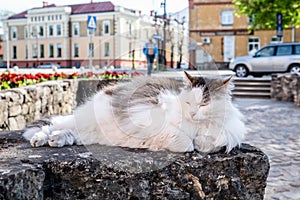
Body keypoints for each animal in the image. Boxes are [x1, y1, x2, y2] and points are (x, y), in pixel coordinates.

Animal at [22, 72, 244, 153]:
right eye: (188, 102)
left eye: (204, 104)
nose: (191, 114)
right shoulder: (151, 115)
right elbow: (184, 142)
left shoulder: (224, 136)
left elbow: (207, 143)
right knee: (52, 126)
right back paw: (40, 139)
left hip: (89, 133)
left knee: (67, 132)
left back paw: (56, 140)